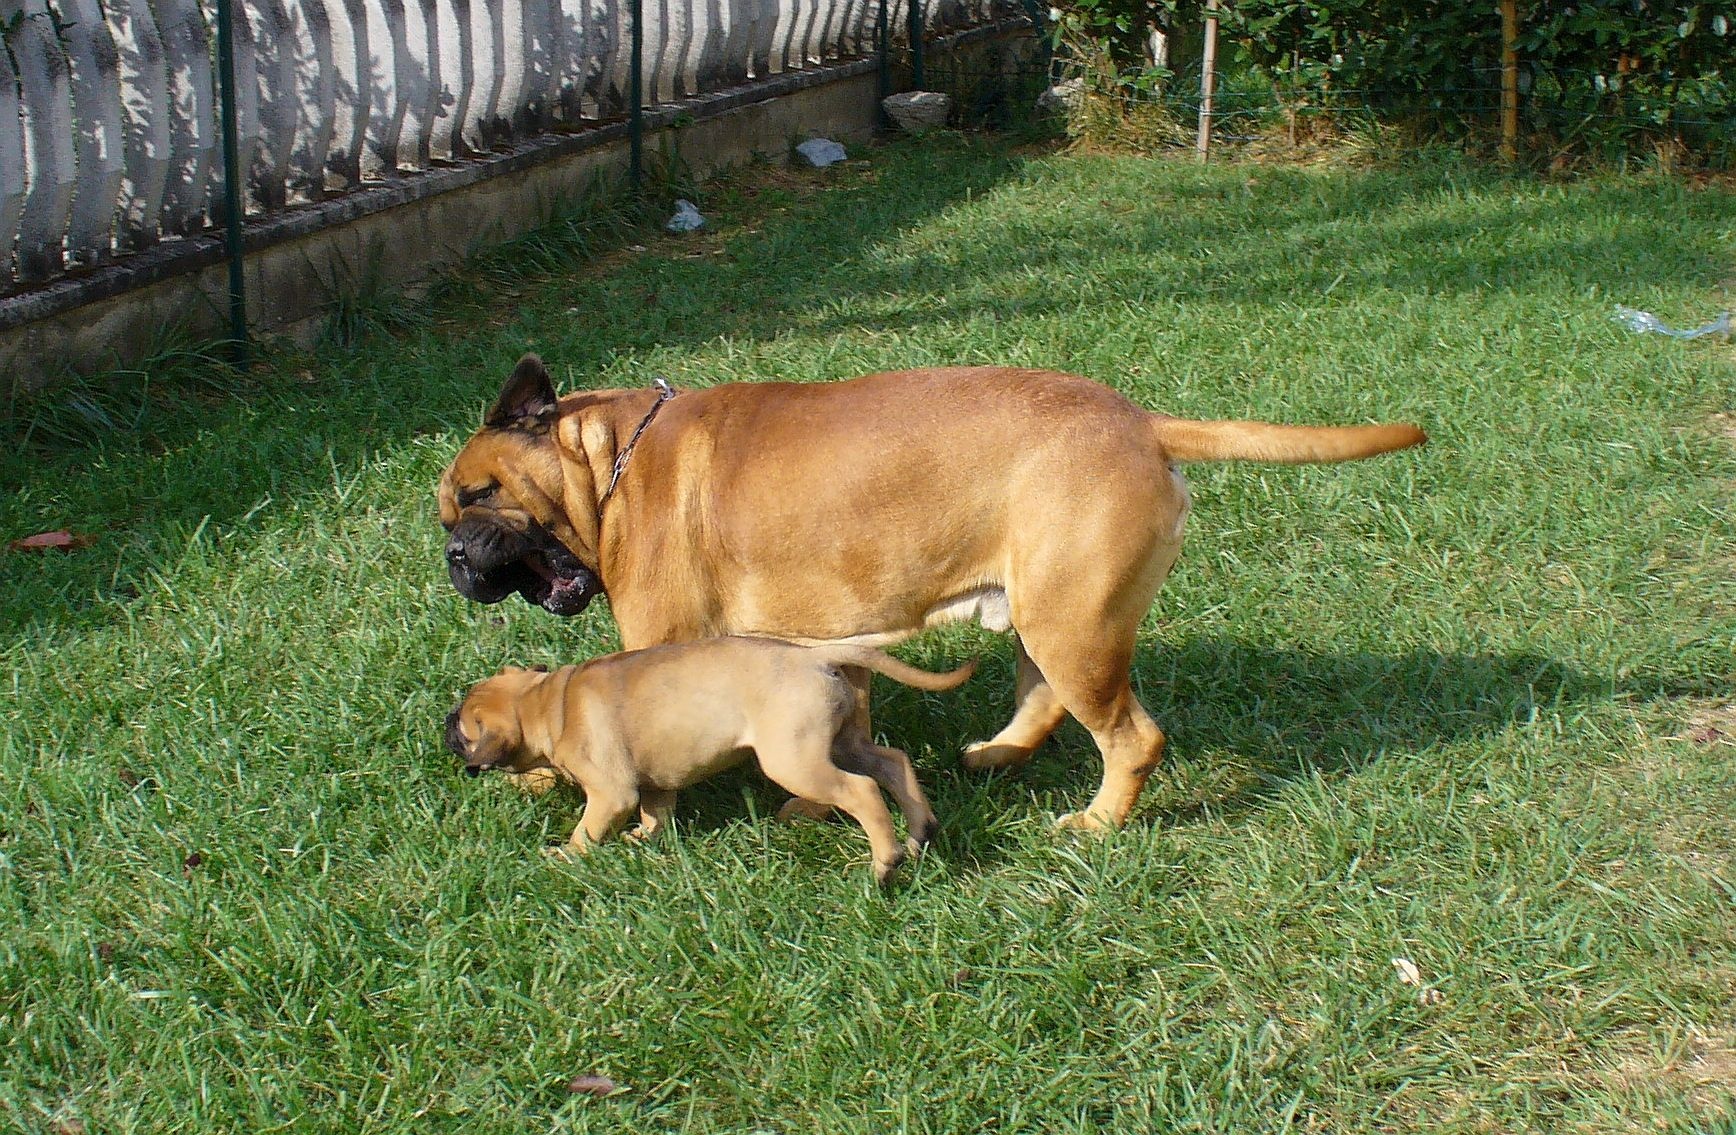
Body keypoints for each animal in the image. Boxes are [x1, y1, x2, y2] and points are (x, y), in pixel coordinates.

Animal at [439, 357, 1425, 830]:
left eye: (477, 495)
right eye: (451, 507)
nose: (452, 555)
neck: (609, 460)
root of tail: (1140, 422)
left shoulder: (655, 645)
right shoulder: (827, 652)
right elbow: (848, 736)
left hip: (1073, 624)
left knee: (1130, 737)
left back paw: (1098, 823)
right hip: (1051, 612)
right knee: (1044, 699)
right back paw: (996, 754)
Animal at [445, 636, 974, 883]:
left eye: (465, 732)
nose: (447, 722)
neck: (544, 703)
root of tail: (813, 657)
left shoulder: (611, 793)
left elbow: (588, 830)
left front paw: (567, 855)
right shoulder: (655, 786)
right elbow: (655, 815)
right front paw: (642, 840)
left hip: (794, 761)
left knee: (861, 790)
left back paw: (884, 863)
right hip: (839, 742)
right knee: (893, 762)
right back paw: (919, 832)